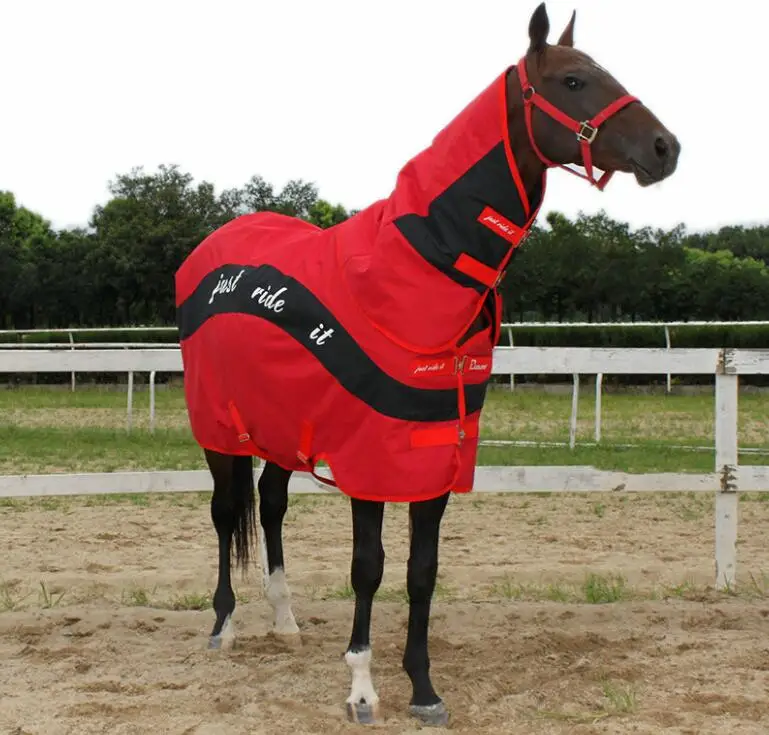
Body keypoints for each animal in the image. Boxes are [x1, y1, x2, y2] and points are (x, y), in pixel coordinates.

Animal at [174, 2, 680, 727]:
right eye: (574, 80)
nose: (666, 148)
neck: (404, 279)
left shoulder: (436, 457)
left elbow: (422, 571)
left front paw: (423, 688)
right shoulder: (370, 461)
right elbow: (369, 566)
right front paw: (362, 689)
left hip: (282, 425)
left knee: (269, 505)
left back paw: (286, 620)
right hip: (219, 427)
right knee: (224, 513)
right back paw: (224, 626)